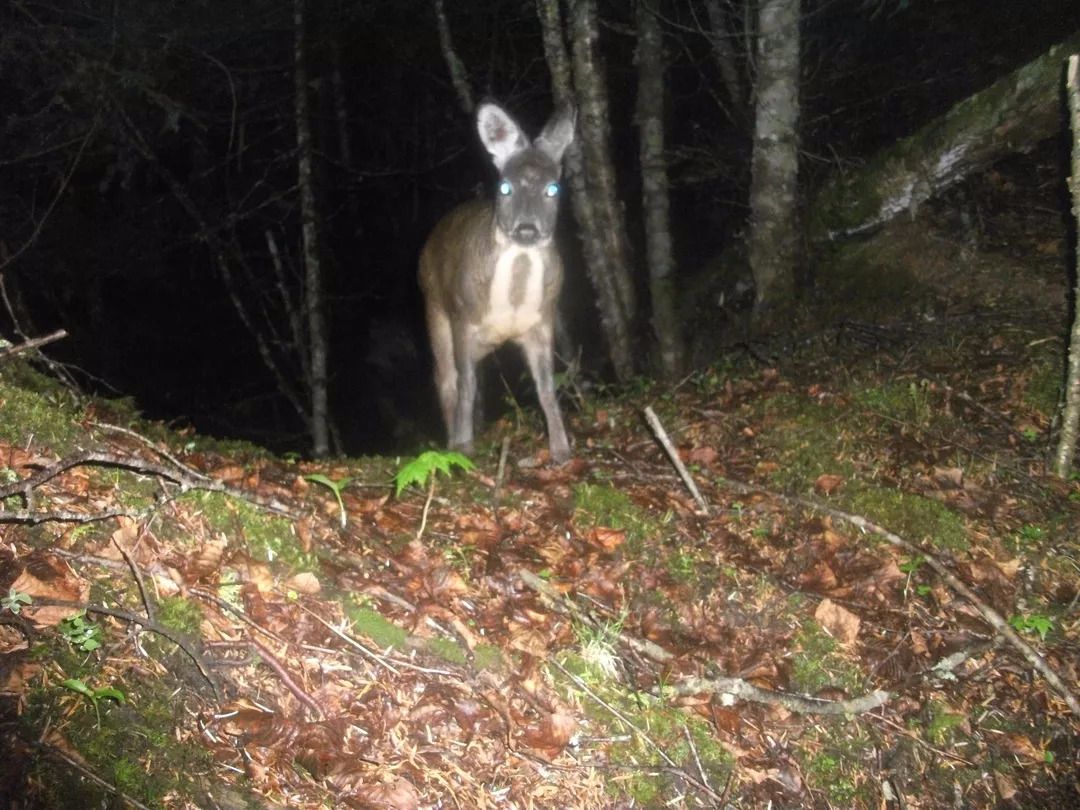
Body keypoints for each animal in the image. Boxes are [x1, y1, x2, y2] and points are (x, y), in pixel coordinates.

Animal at [416, 101, 578, 462]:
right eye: (505, 187)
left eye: (553, 189)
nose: (527, 228)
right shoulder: (462, 317)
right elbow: (465, 384)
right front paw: (463, 446)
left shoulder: (542, 321)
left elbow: (547, 387)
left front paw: (561, 449)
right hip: (435, 306)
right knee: (445, 379)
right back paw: (452, 440)